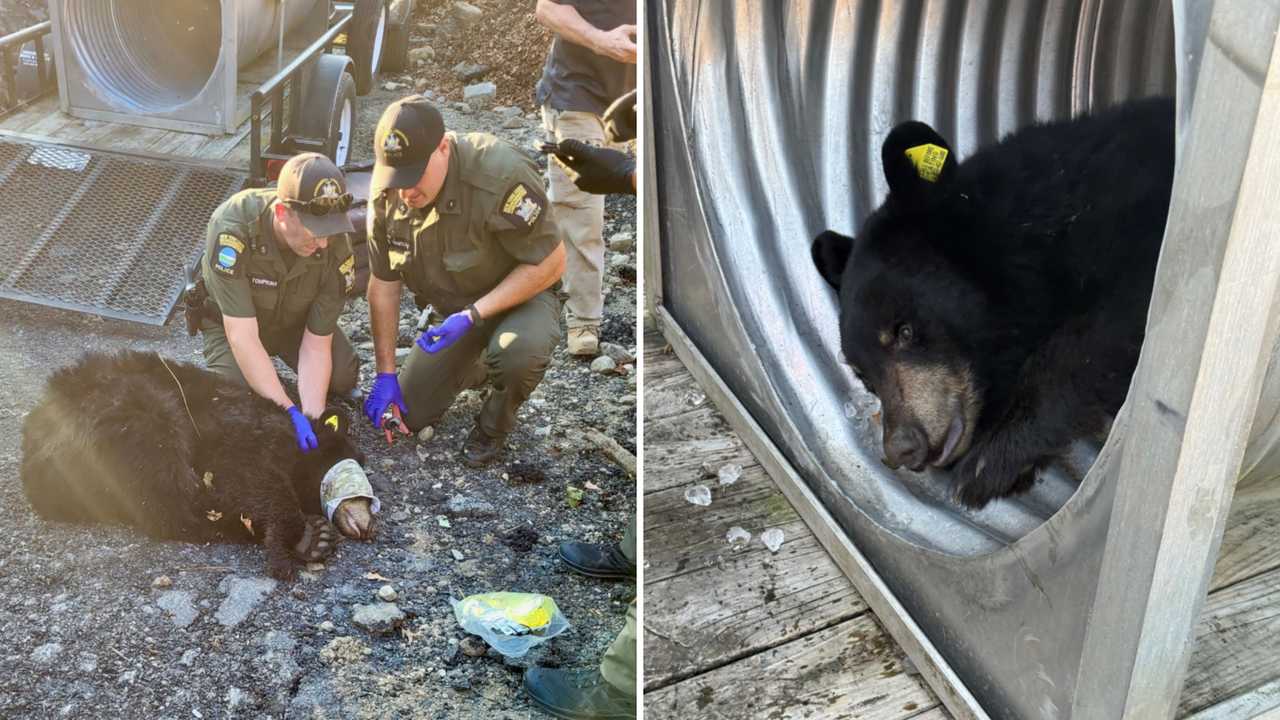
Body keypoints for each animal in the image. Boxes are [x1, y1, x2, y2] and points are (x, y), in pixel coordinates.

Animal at [20, 350, 378, 580]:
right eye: (354, 467)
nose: (367, 523)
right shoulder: (241, 431)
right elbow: (249, 471)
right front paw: (295, 541)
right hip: (130, 412)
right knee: (168, 487)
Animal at [811, 96, 1175, 509]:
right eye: (864, 377)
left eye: (904, 330)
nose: (903, 447)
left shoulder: (1136, 231)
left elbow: (1100, 333)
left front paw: (989, 462)